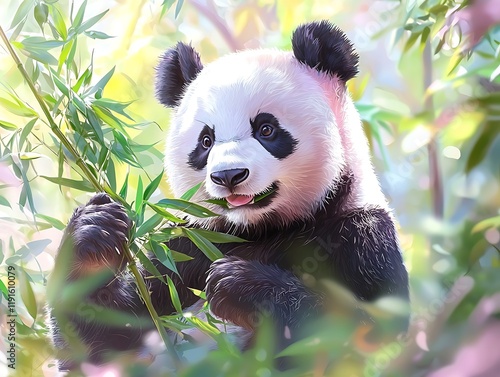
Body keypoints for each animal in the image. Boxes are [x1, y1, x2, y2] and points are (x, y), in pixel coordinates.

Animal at [50, 20, 408, 370]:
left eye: (266, 129)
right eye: (206, 141)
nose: (229, 175)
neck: (261, 228)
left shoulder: (359, 238)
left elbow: (367, 334)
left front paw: (240, 286)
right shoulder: (189, 246)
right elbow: (108, 337)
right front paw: (95, 230)